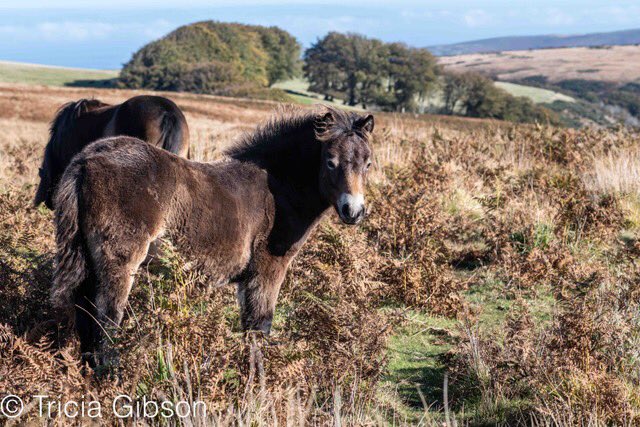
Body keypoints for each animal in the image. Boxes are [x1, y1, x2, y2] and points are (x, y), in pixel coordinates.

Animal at [50, 106, 374, 370]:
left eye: (368, 164)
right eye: (330, 161)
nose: (353, 211)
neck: (278, 191)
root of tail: (87, 158)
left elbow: (248, 327)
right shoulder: (268, 269)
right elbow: (260, 327)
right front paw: (257, 384)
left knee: (85, 314)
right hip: (119, 262)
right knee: (106, 320)